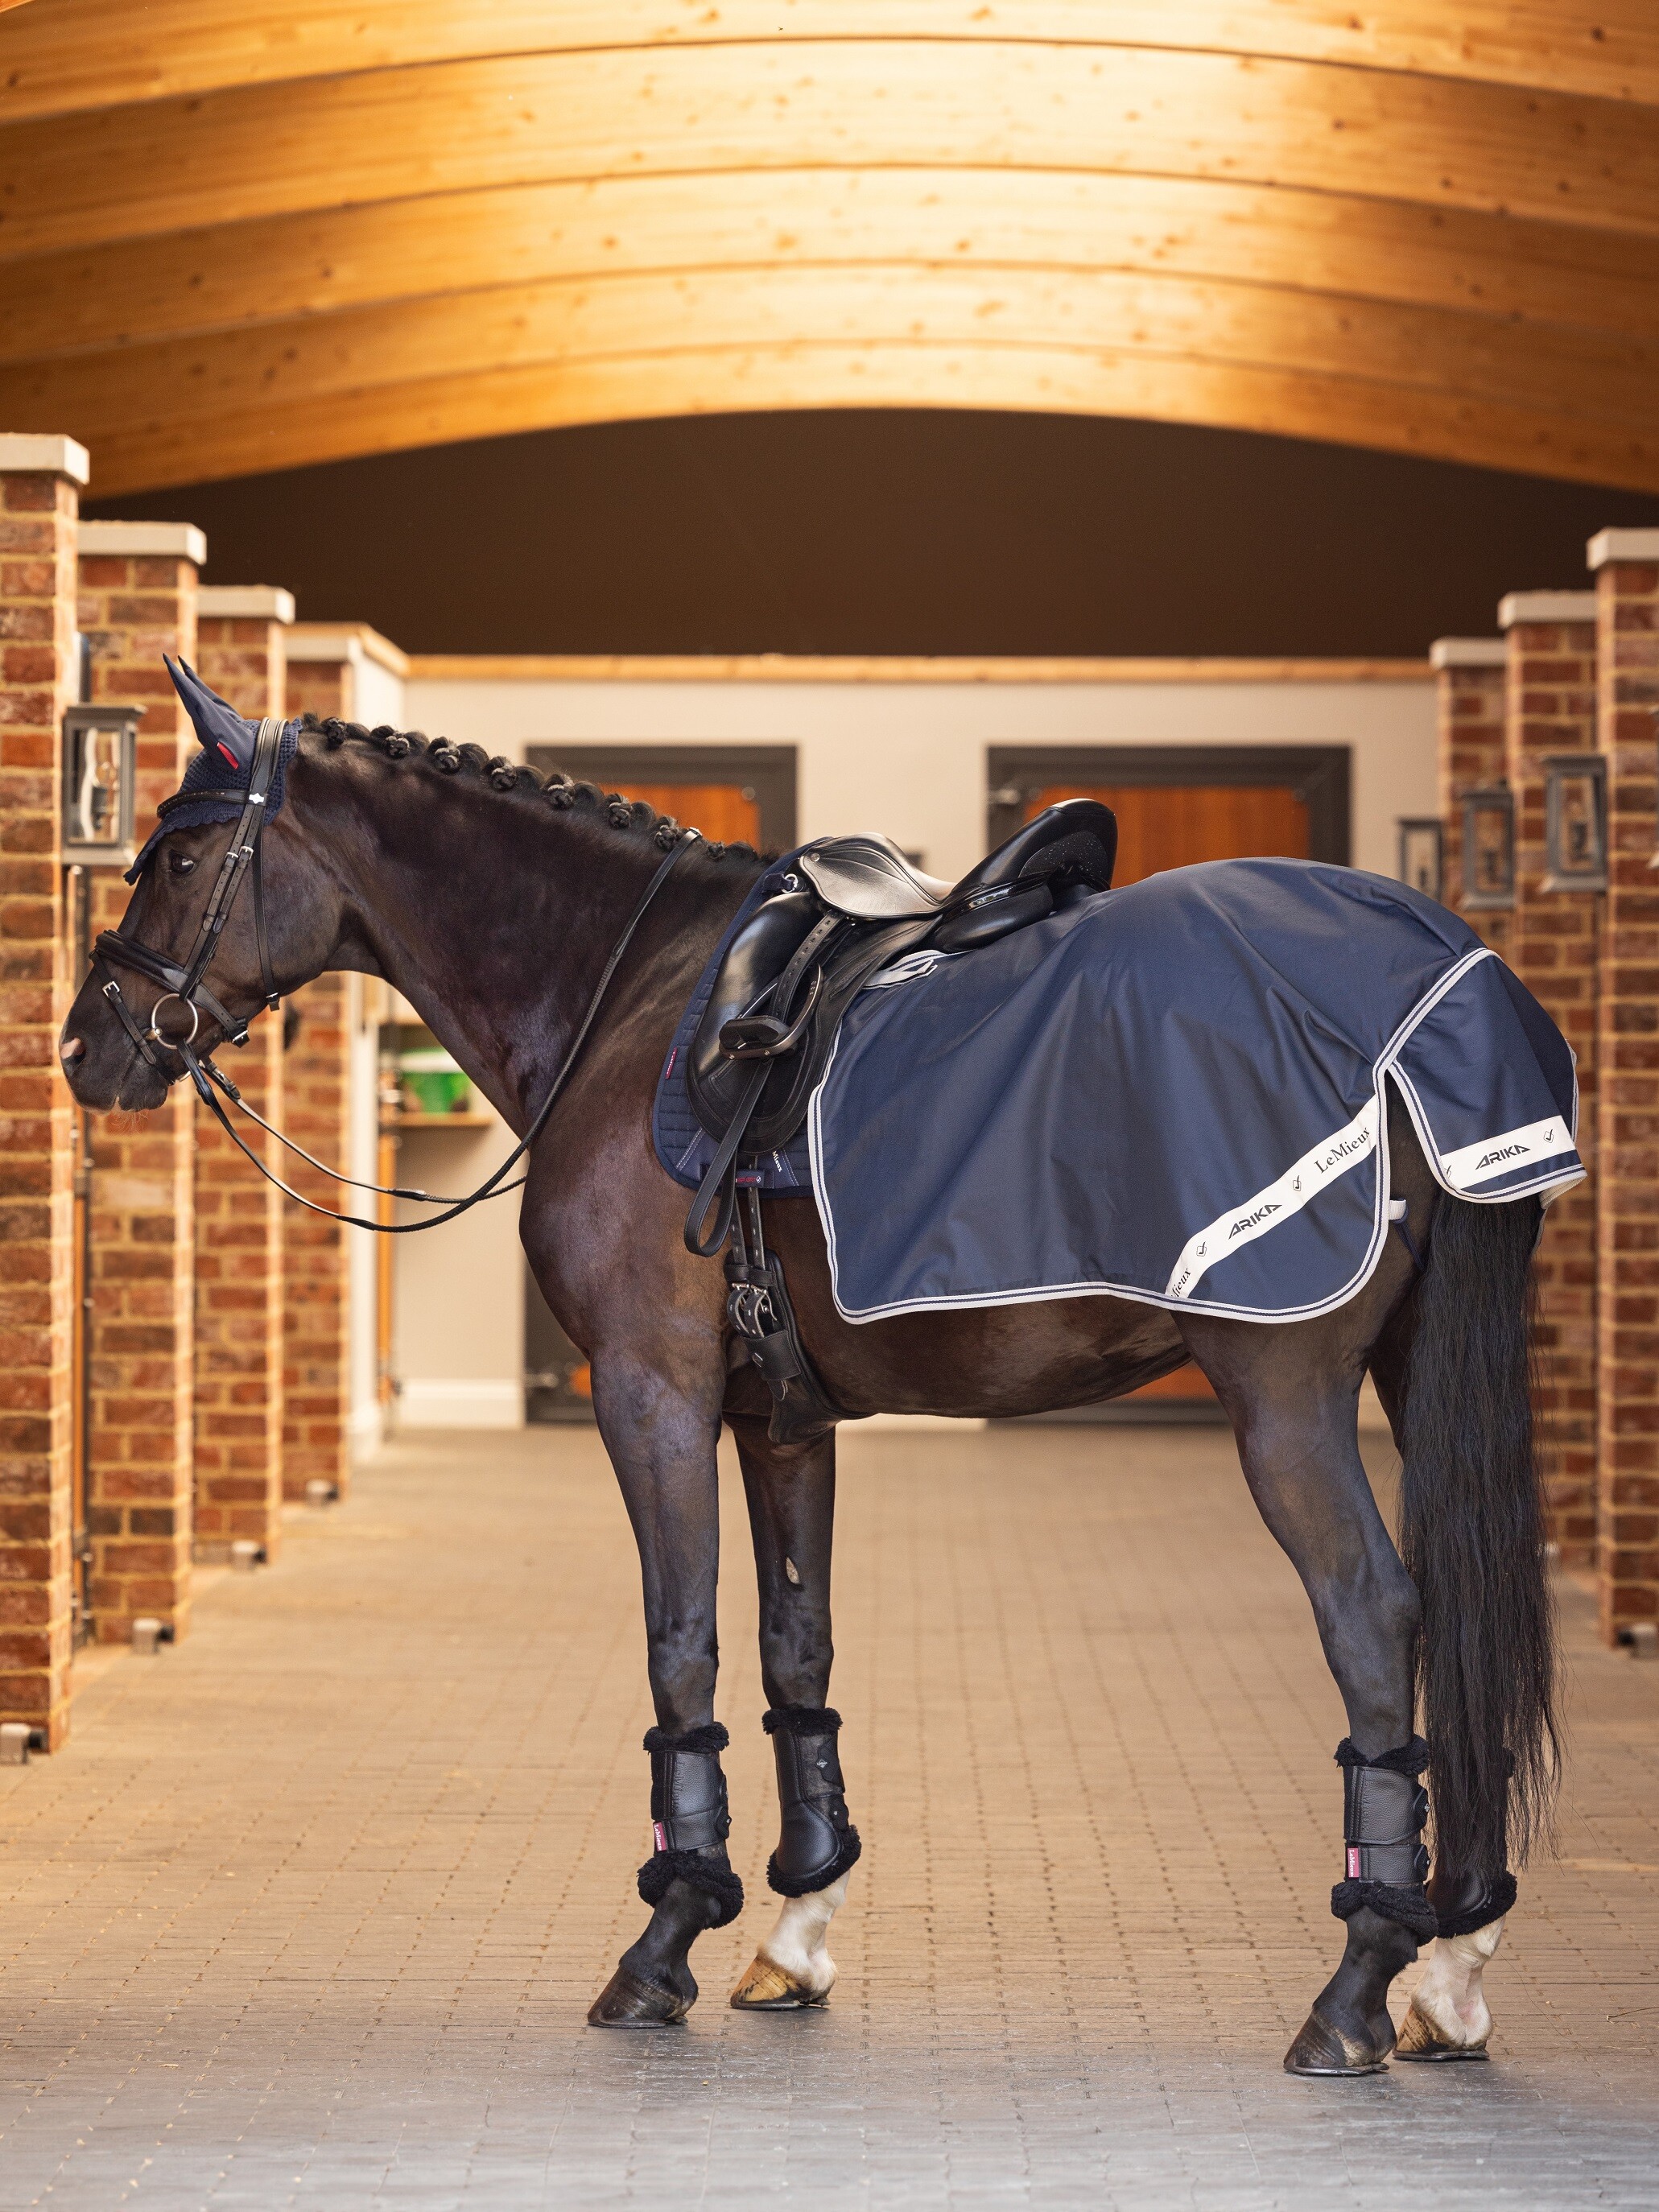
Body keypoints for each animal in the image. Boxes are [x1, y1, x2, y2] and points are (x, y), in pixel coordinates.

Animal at [60, 704, 1559, 2077]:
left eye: (178, 856)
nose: (87, 1046)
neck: (634, 997)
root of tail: (1440, 983)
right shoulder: (783, 1420)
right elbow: (799, 1650)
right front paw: (795, 1925)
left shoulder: (651, 1394)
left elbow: (682, 1645)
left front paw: (668, 1936)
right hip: (1414, 1373)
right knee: (1459, 1599)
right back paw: (1454, 1961)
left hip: (1283, 1388)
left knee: (1375, 1616)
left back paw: (1357, 1983)